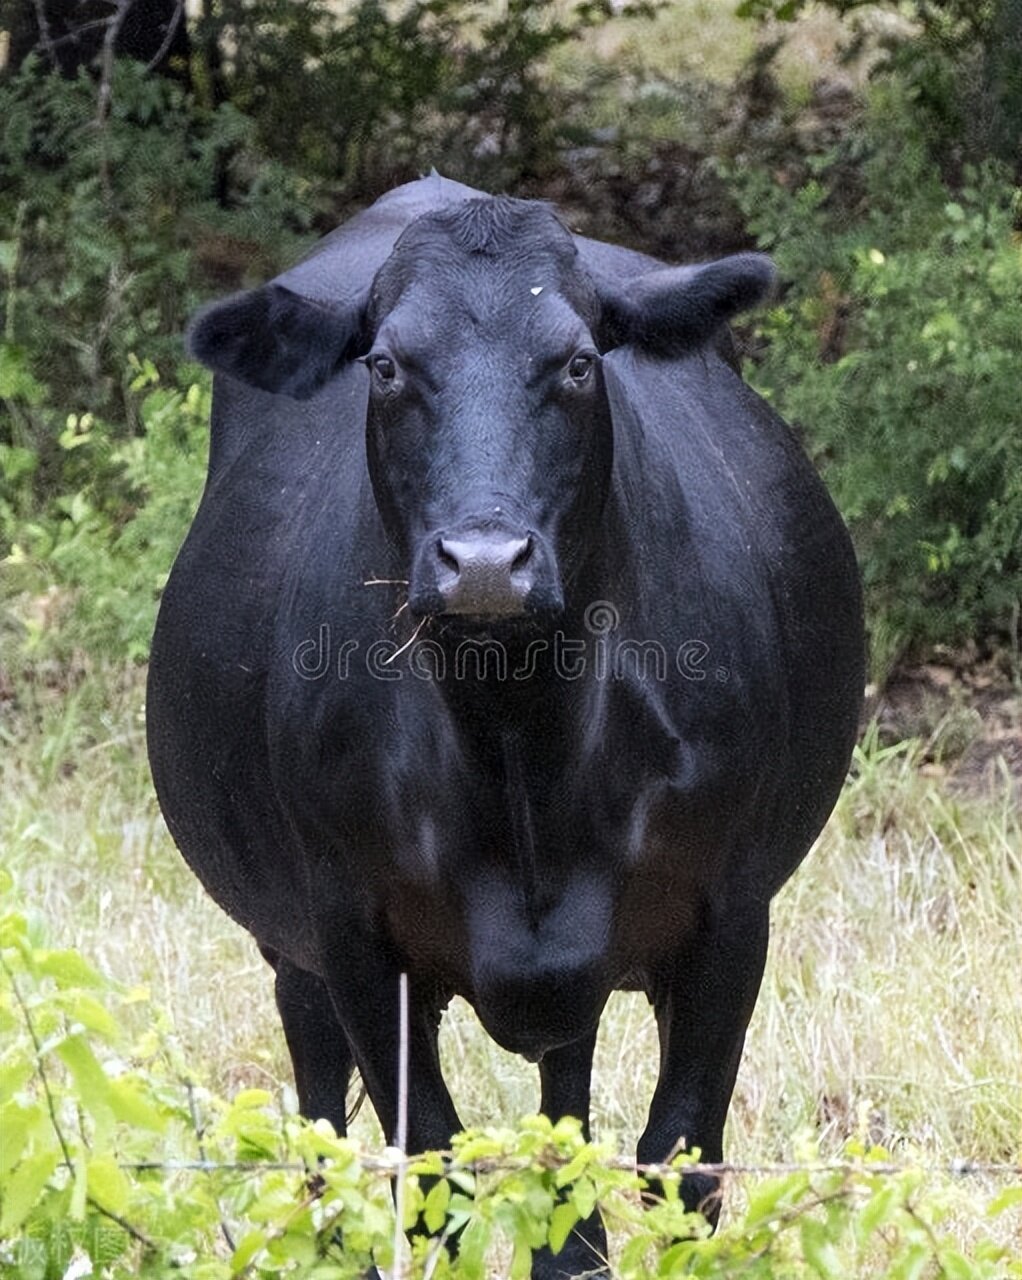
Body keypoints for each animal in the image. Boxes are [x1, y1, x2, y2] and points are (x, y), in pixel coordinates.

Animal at [146, 172, 865, 1280]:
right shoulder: (352, 931)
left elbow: (677, 1159)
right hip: (289, 939)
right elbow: (429, 1158)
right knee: (320, 1112)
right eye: (387, 364)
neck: (521, 746)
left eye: (577, 360)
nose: (484, 562)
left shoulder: (732, 911)